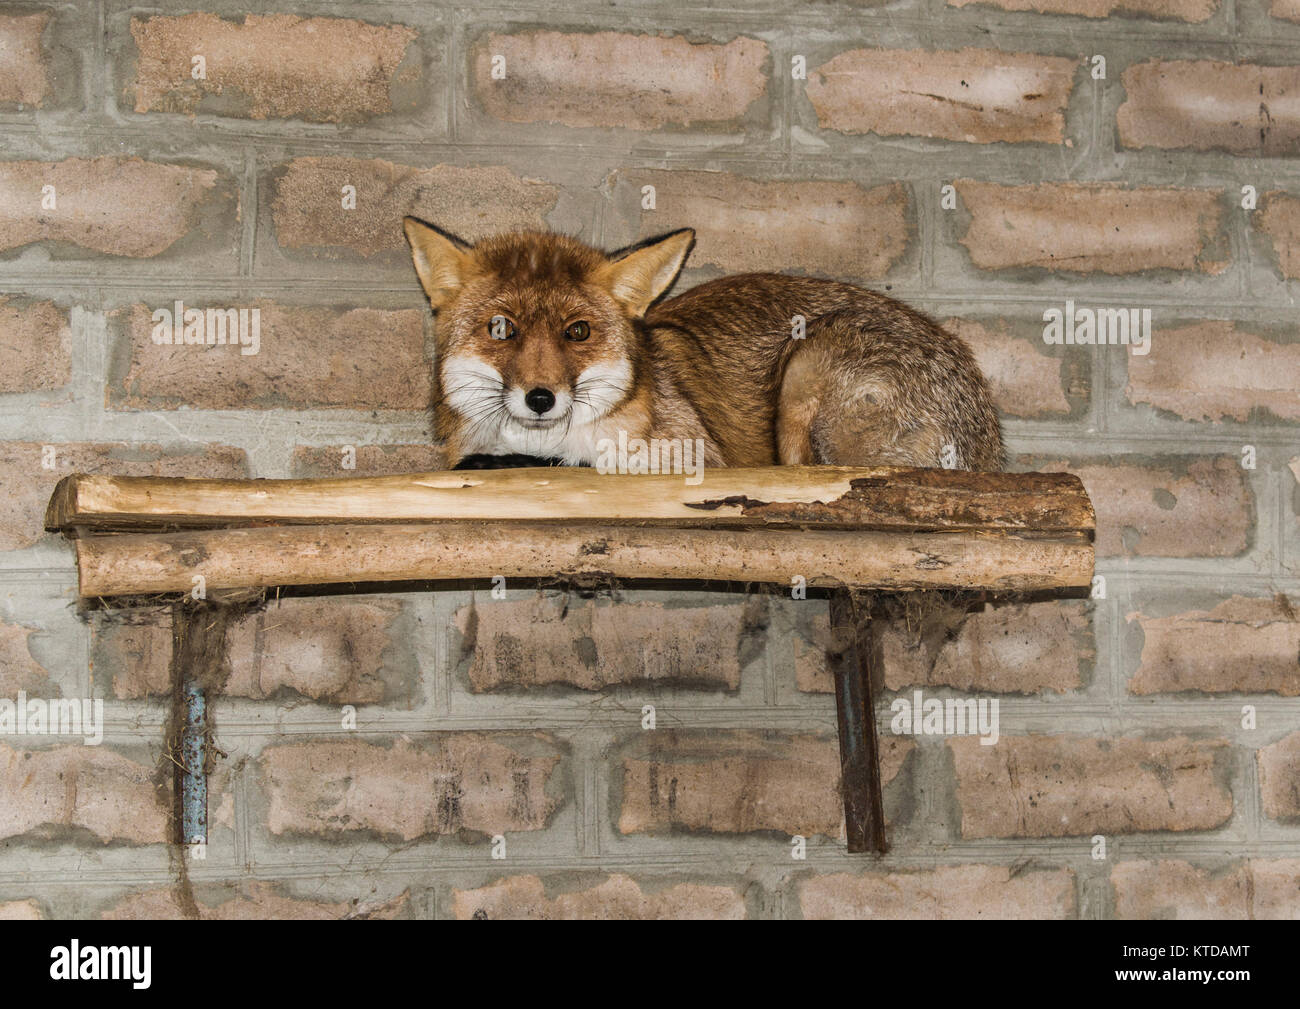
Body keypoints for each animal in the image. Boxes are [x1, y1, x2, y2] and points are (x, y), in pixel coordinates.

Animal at [402, 218, 1005, 473]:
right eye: (501, 329)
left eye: (578, 332)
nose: (541, 398)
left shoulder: (693, 454)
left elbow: (577, 464)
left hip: (806, 366)